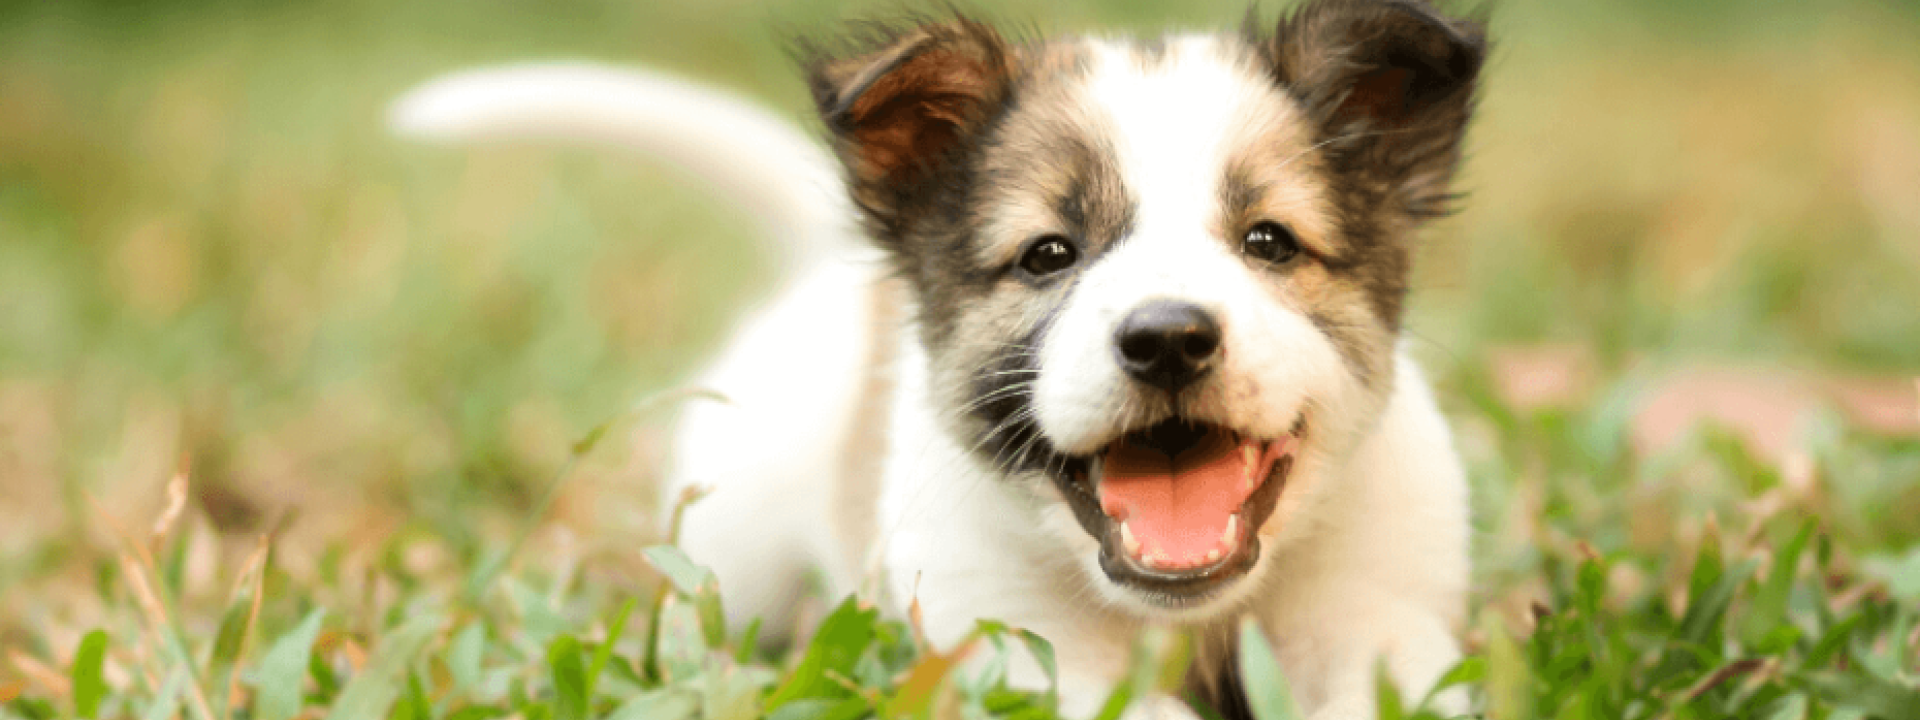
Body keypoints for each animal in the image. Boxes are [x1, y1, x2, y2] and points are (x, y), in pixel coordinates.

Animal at [393, 2, 1482, 718]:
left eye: (1268, 242)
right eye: (1048, 254)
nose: (1168, 337)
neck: (1191, 617)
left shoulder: (1380, 620)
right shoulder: (1011, 637)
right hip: (731, 568)